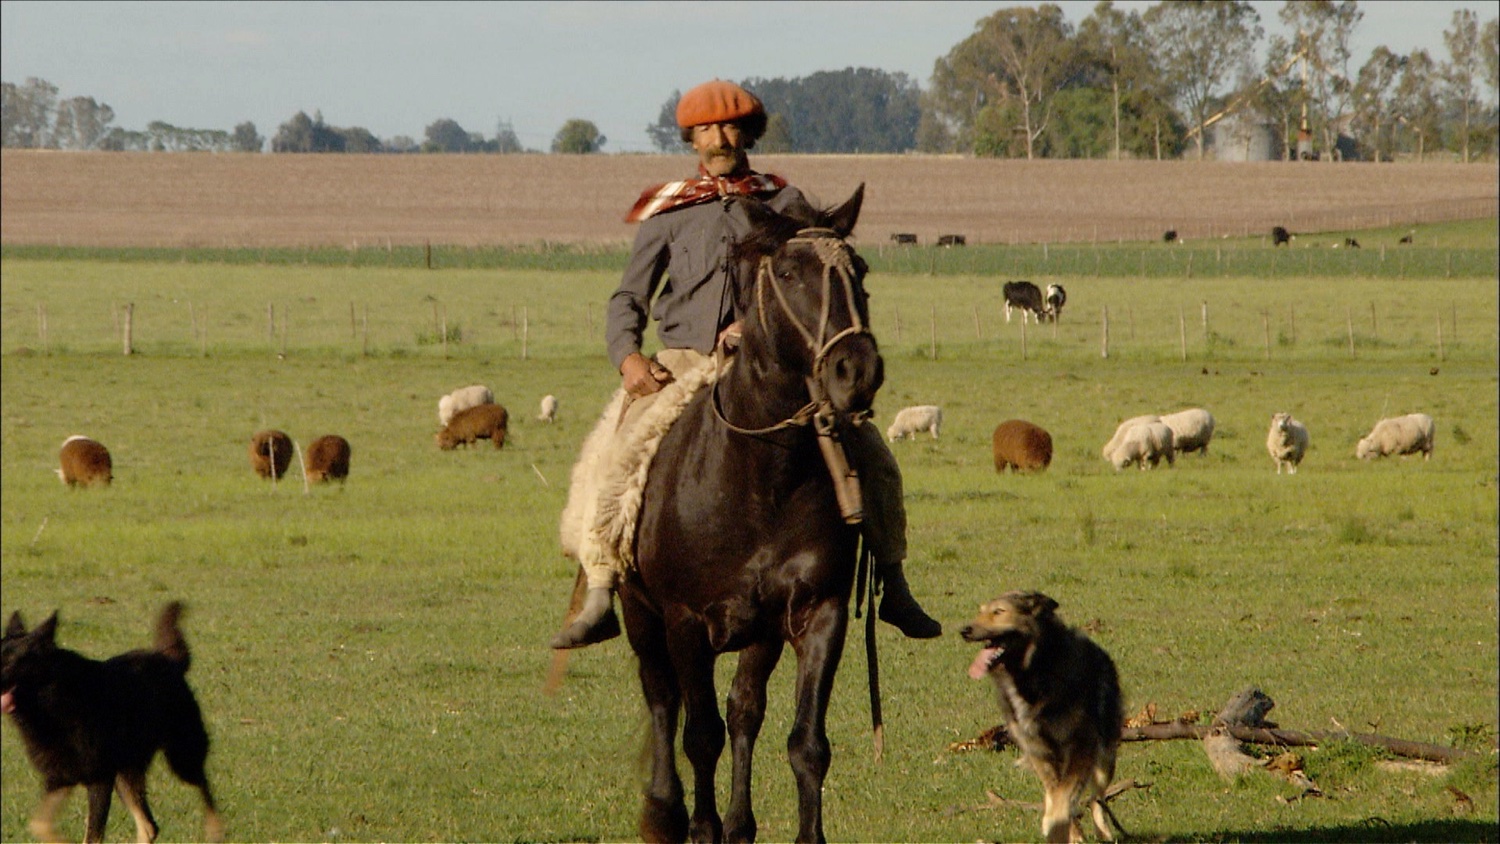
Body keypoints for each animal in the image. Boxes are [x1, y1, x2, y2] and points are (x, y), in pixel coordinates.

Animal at [1, 605, 222, 839]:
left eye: (12, 662)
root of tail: (169, 661)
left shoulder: (99, 780)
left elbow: (92, 836)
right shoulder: (60, 779)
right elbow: (39, 824)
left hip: (182, 757)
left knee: (204, 787)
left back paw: (215, 830)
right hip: (126, 775)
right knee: (149, 826)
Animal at [621, 186, 876, 844]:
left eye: (860, 272)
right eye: (786, 273)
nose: (857, 369)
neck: (763, 480)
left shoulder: (817, 614)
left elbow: (804, 743)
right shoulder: (686, 622)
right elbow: (699, 734)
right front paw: (699, 826)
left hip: (758, 633)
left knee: (744, 710)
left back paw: (739, 823)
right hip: (640, 614)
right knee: (662, 699)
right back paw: (665, 811)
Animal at [966, 590, 1122, 839]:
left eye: (999, 612)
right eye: (980, 612)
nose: (965, 630)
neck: (1031, 674)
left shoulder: (1081, 744)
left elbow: (1066, 795)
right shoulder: (1038, 750)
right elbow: (1058, 795)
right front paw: (1063, 829)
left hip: (1105, 757)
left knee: (1096, 798)